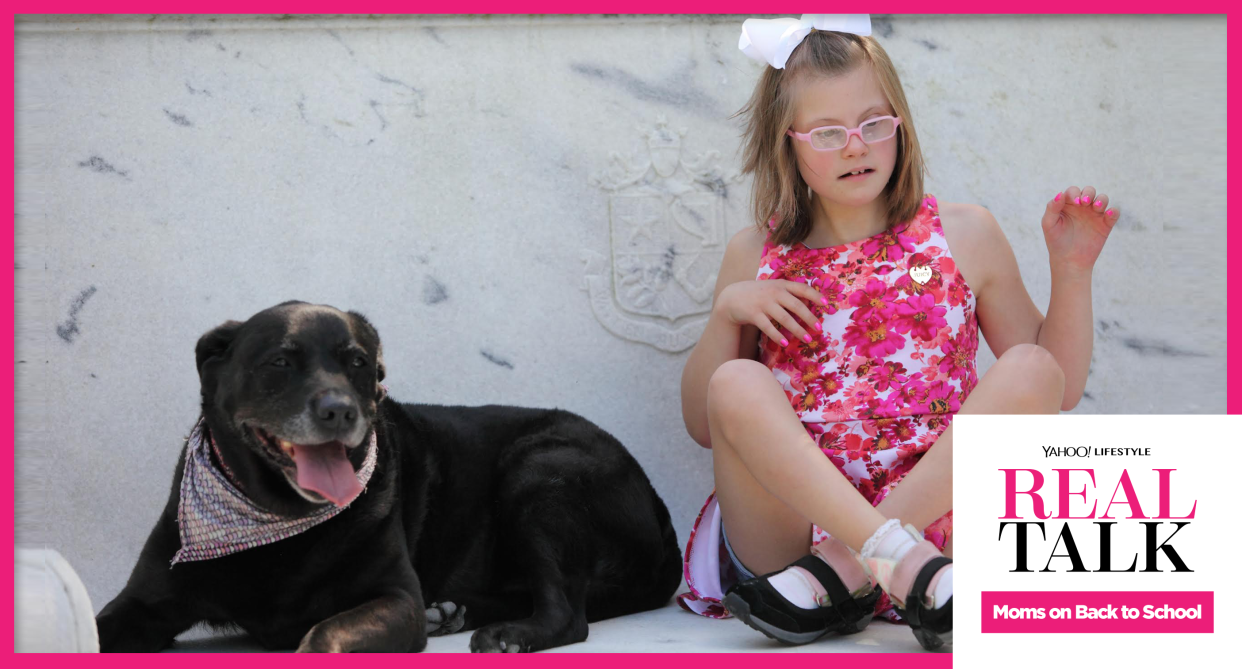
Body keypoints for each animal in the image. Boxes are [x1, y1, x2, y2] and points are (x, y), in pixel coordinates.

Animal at [94, 301, 680, 650]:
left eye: (357, 361)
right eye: (280, 361)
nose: (339, 411)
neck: (277, 520)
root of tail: (660, 505)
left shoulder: (395, 600)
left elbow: (325, 634)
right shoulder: (143, 602)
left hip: (540, 471)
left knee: (568, 614)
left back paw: (505, 631)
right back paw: (455, 611)